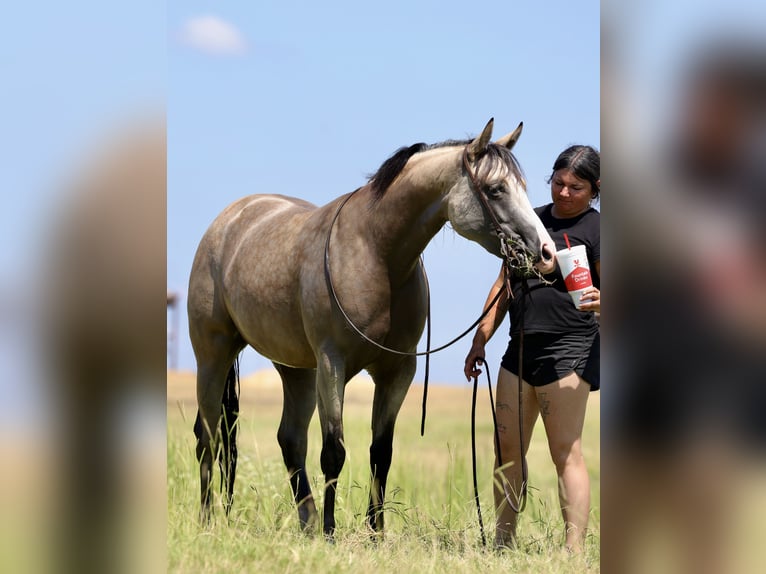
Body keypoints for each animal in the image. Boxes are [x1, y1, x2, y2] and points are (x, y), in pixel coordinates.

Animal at [188, 118, 556, 538]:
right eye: (496, 189)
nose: (546, 253)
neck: (376, 253)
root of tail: (229, 220)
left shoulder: (397, 371)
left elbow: (381, 452)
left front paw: (376, 531)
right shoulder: (332, 364)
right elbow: (334, 451)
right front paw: (331, 531)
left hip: (296, 370)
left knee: (290, 440)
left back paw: (307, 522)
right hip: (214, 355)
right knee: (208, 436)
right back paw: (208, 520)